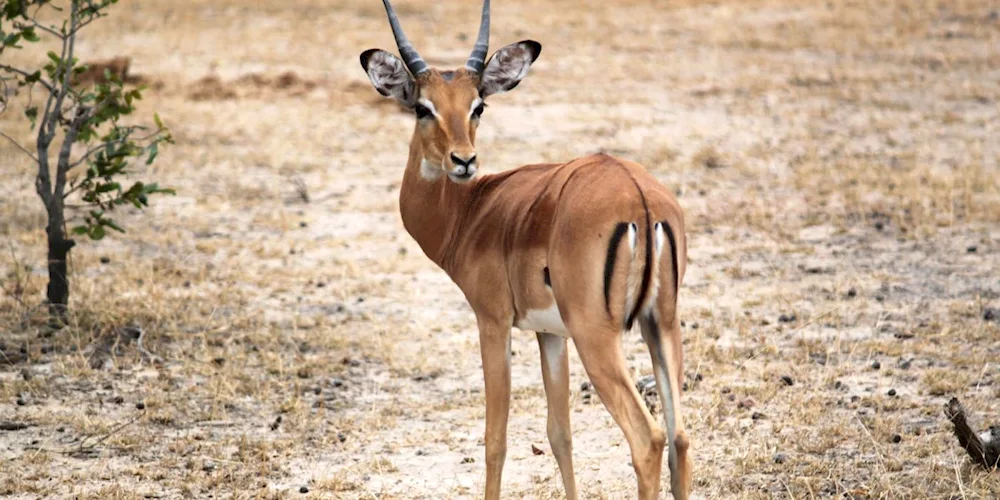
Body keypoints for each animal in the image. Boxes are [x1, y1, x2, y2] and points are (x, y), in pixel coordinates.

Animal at [362, 1, 696, 498]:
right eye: (423, 108)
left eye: (478, 105)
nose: (464, 160)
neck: (471, 210)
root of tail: (639, 197)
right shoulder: (550, 334)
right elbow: (560, 434)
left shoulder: (493, 322)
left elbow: (495, 438)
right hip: (662, 325)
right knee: (680, 440)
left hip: (598, 337)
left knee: (649, 439)